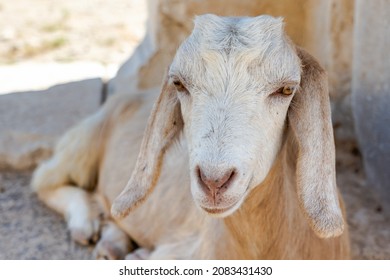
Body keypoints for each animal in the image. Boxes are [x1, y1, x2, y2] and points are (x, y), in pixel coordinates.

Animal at [32, 14, 350, 260]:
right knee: (45, 179)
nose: (214, 181)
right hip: (86, 139)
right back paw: (85, 223)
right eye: (179, 84)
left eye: (286, 90)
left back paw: (112, 243)